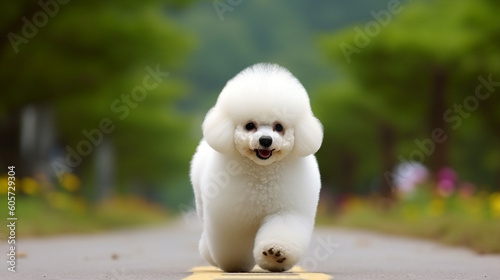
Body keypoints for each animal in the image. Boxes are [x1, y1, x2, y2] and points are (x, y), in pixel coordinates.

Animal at [188, 63, 324, 272]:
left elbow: (282, 229)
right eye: (250, 125)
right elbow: (233, 243)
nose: (265, 140)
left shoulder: (286, 211)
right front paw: (235, 264)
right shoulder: (233, 219)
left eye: (279, 127)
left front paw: (275, 255)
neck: (262, 174)